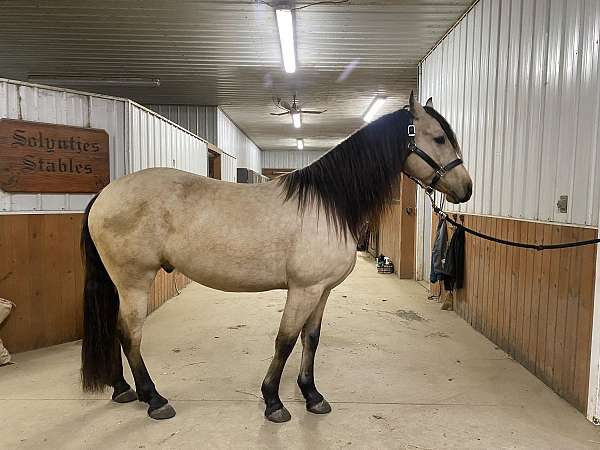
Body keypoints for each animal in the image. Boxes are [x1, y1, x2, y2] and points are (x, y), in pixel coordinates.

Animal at [81, 93, 474, 424]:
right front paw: (273, 401)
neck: (329, 205)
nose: (466, 188)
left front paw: (312, 395)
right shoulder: (303, 289)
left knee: (116, 330)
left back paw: (122, 389)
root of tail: (105, 193)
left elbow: (310, 339)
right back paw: (154, 399)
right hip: (134, 282)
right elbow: (285, 340)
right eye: (439, 138)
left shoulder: (321, 291)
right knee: (129, 333)